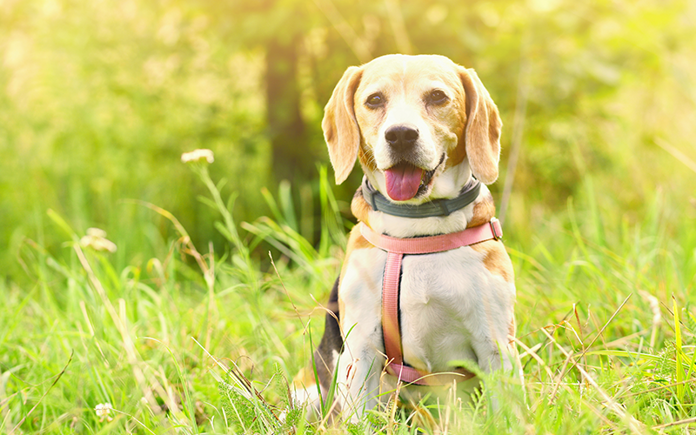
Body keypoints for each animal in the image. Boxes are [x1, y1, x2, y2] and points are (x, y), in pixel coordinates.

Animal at [292, 53, 516, 422]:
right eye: (374, 100)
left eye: (437, 97)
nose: (400, 135)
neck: (418, 229)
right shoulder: (362, 351)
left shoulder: (496, 345)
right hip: (307, 394)